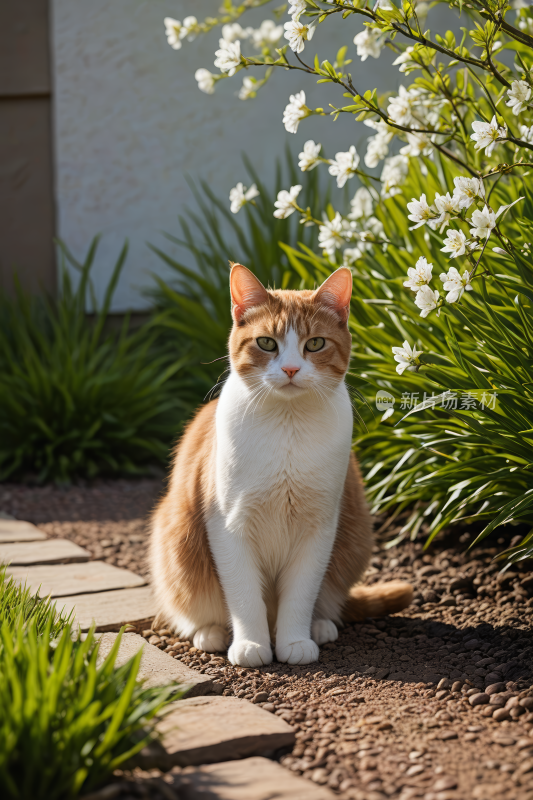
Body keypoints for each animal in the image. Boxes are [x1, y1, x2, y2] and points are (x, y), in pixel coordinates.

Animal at [150, 264, 412, 668]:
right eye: (267, 343)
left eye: (315, 344)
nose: (290, 368)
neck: (286, 430)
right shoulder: (227, 525)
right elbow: (243, 595)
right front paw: (251, 644)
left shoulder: (319, 526)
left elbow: (301, 593)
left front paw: (295, 640)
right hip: (174, 537)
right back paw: (210, 633)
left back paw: (320, 625)